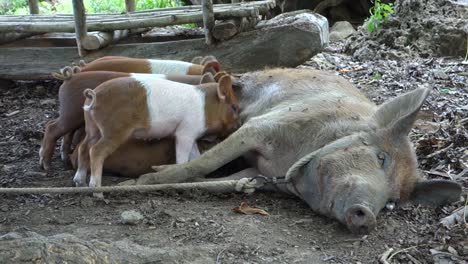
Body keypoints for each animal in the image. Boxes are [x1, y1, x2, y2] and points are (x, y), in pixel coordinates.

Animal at [74, 74, 239, 196]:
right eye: (235, 107)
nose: (237, 126)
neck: (206, 107)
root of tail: (95, 94)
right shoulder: (185, 132)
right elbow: (182, 159)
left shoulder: (191, 135)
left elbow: (196, 157)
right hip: (115, 129)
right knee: (96, 150)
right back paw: (97, 192)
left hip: (92, 127)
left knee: (83, 147)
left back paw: (79, 182)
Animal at [137, 69, 462, 234]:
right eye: (380, 157)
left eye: (392, 202)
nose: (368, 216)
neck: (287, 170)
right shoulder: (262, 126)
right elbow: (205, 163)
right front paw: (143, 181)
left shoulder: (258, 172)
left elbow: (223, 181)